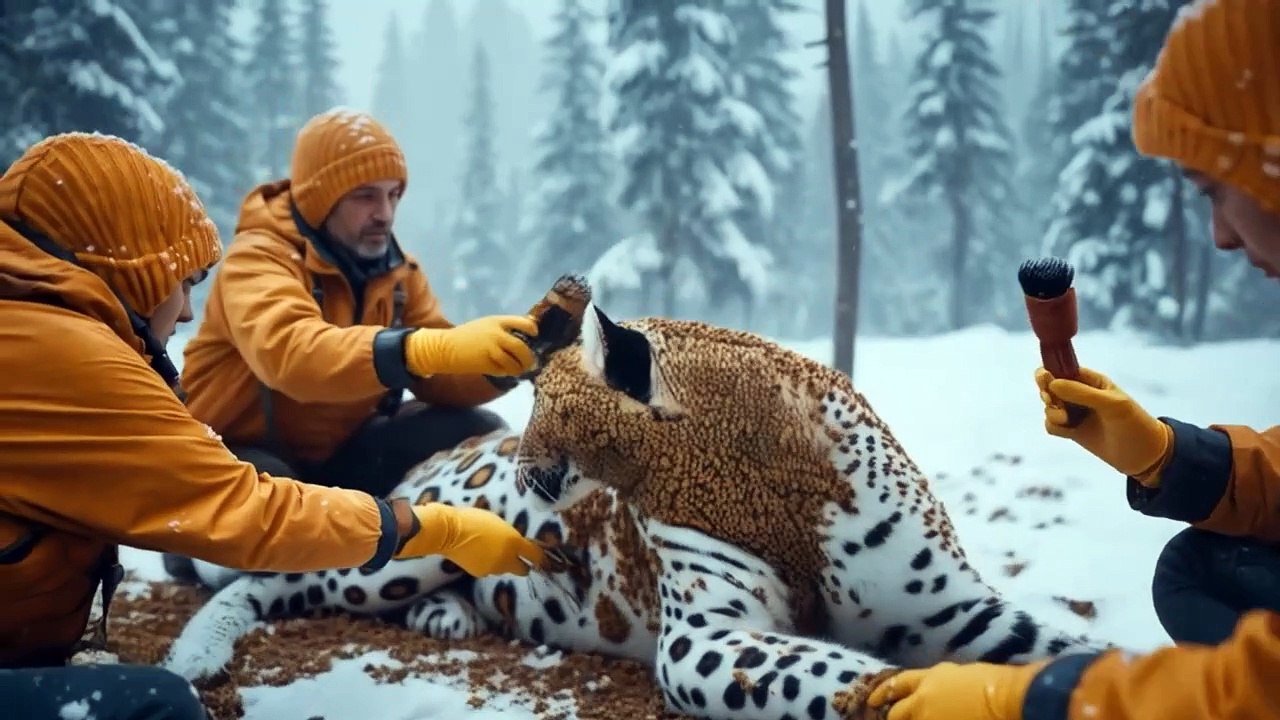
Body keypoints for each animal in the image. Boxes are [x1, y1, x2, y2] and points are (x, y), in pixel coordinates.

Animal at [161, 288, 1113, 720]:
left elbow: (1063, 650)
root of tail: (440, 454)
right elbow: (840, 673)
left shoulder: (952, 606)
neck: (772, 471)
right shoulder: (704, 633)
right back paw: (193, 656)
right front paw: (916, 693)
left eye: (546, 398)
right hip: (400, 550)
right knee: (274, 579)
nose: (522, 462)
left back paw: (453, 617)